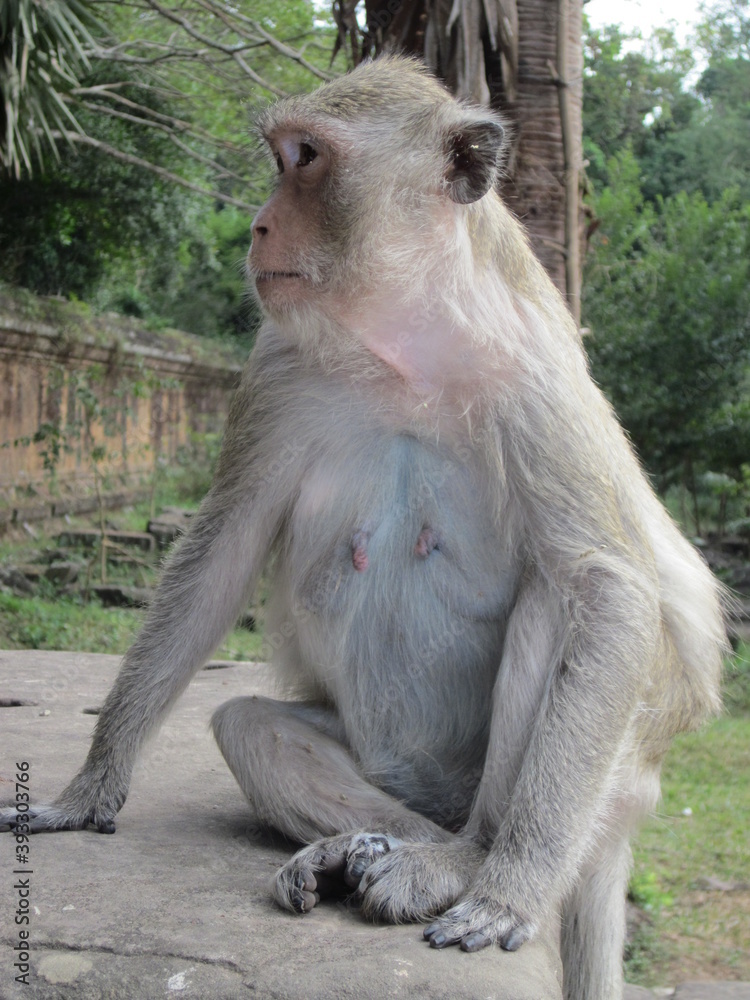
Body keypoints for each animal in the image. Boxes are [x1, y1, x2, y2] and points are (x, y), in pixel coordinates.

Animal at [0, 56, 726, 1000]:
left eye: (306, 158)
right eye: (280, 157)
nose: (259, 224)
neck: (406, 344)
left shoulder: (537, 374)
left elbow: (604, 586)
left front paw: (515, 885)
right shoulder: (277, 364)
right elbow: (224, 549)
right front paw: (91, 785)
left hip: (615, 773)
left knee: (558, 605)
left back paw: (468, 861)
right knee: (255, 728)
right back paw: (369, 846)